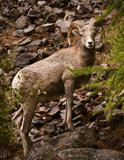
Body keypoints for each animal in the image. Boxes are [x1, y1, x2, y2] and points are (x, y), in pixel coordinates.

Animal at [12, 18, 98, 156]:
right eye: (81, 34)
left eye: (94, 33)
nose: (90, 43)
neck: (79, 58)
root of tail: (15, 83)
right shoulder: (69, 81)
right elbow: (70, 102)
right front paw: (71, 127)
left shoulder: (69, 87)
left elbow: (66, 104)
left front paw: (64, 126)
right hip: (29, 105)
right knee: (24, 129)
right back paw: (28, 151)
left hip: (24, 106)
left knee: (16, 119)